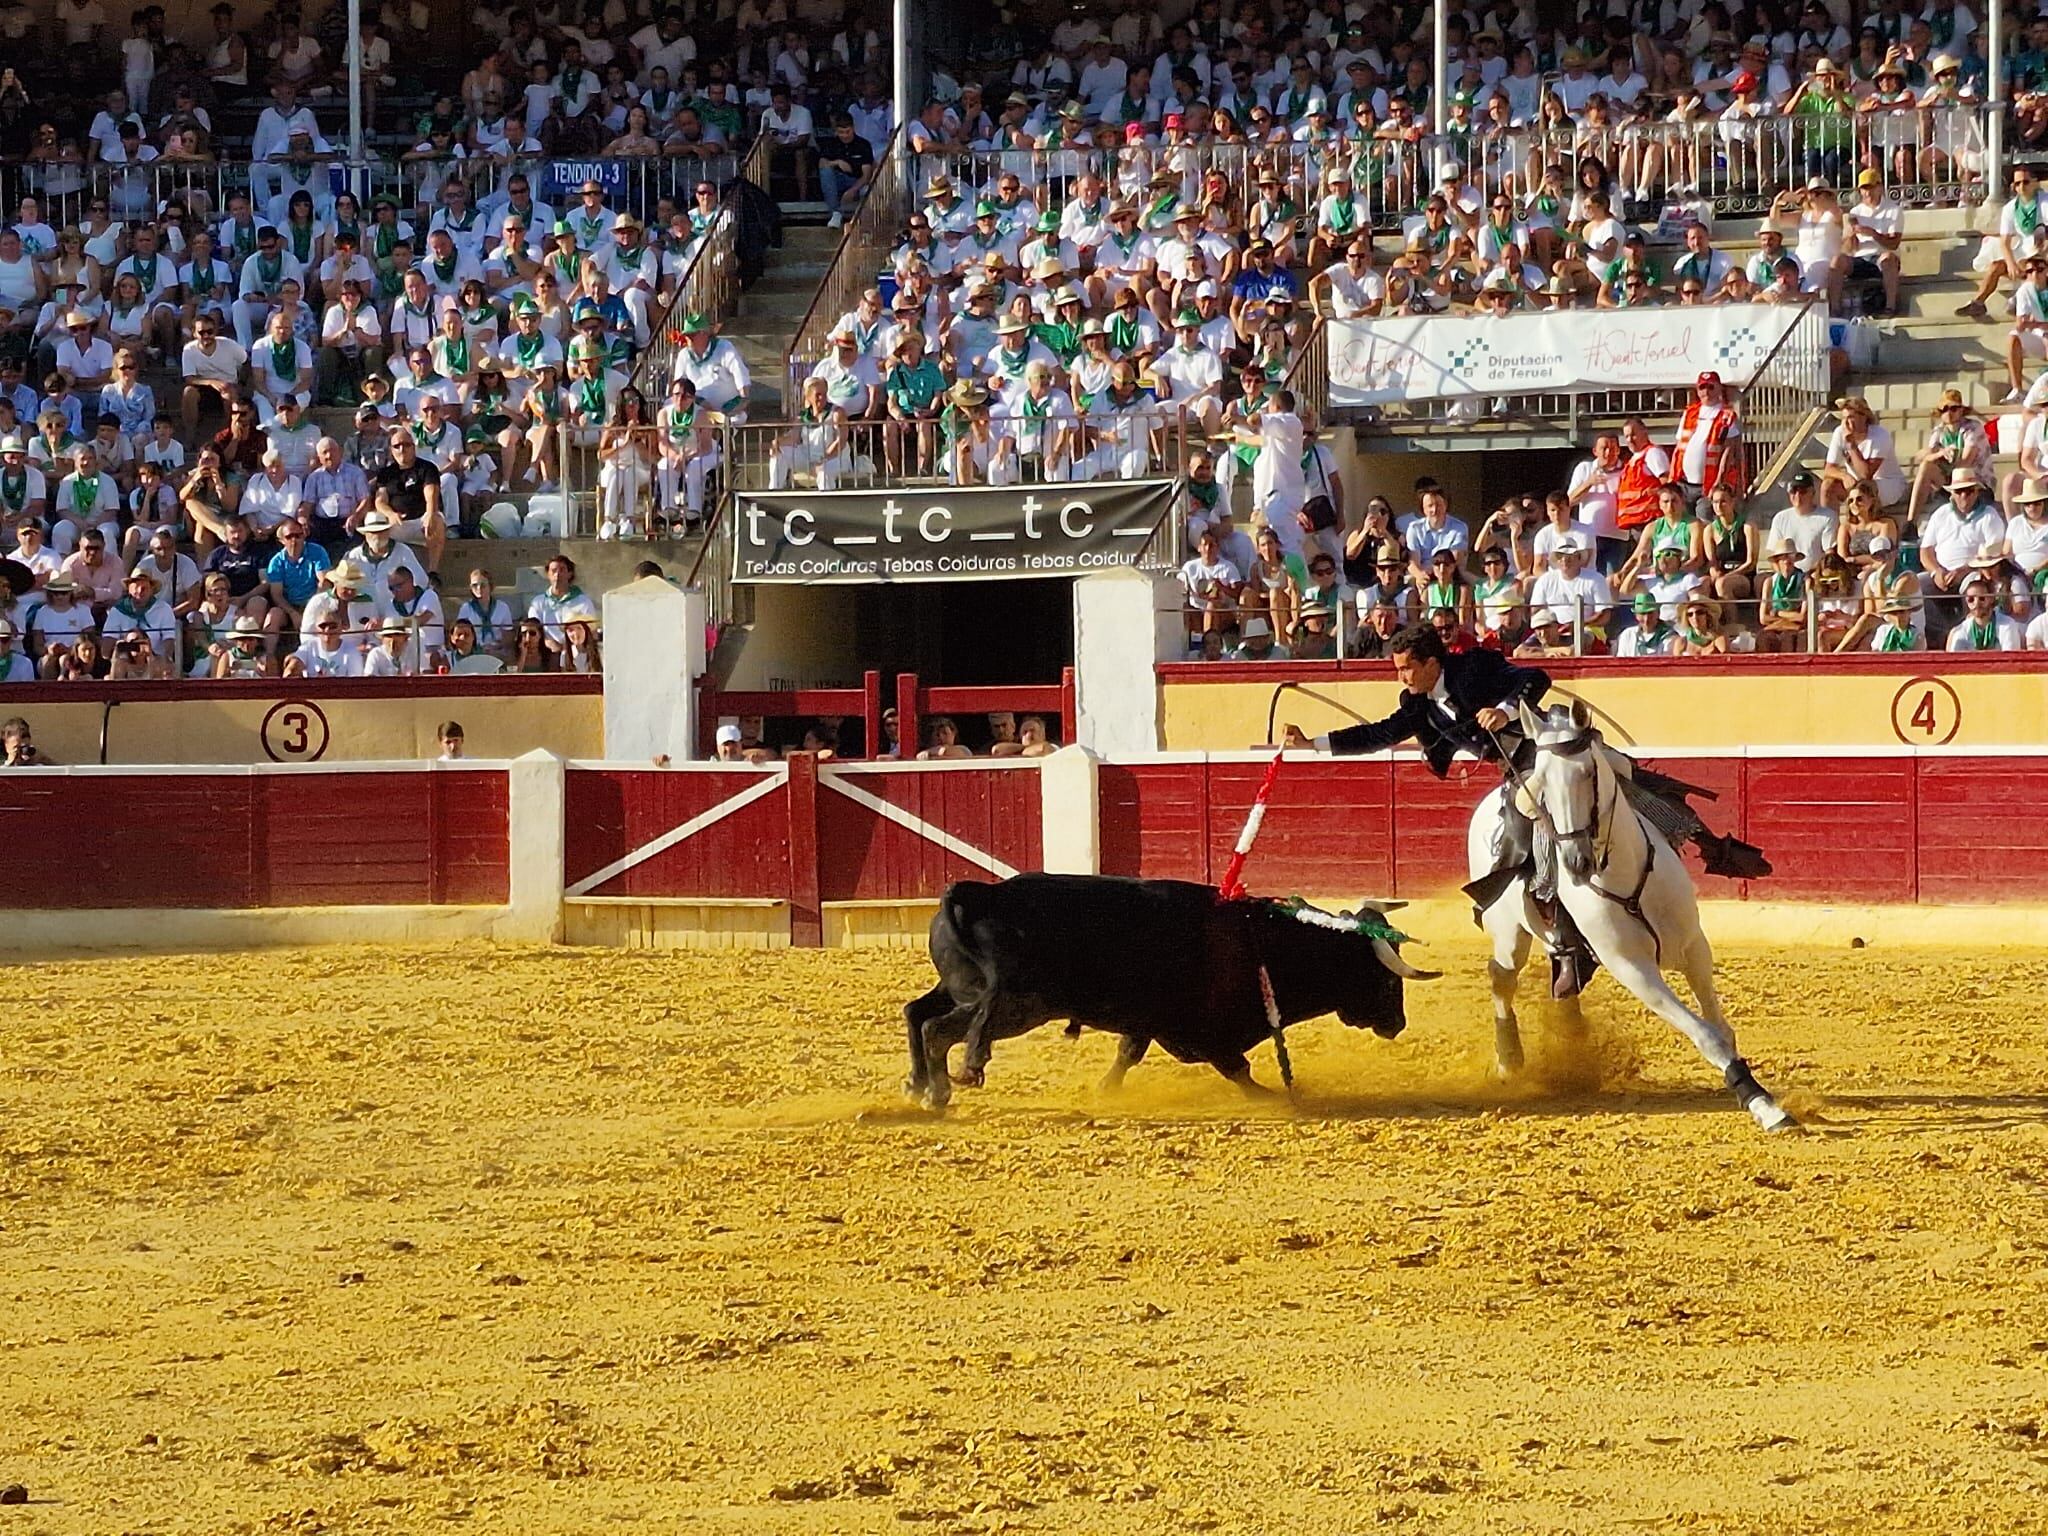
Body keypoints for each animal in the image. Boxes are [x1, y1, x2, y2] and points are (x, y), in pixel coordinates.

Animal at [905, 876, 1433, 1105]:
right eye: (1386, 979)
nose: (1398, 1024)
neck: (1260, 942)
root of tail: (975, 893)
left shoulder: (1148, 1021)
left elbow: (1128, 1053)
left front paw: (1105, 1090)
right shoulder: (1203, 1033)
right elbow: (1237, 1068)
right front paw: (1275, 1096)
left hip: (962, 987)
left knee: (916, 1012)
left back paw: (917, 1085)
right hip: (1020, 1006)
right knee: (943, 1030)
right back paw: (944, 1089)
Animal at [1474, 696, 1794, 1130]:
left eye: (1589, 772)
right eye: (1540, 784)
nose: (1575, 862)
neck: (1622, 872)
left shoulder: (1695, 947)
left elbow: (1721, 1029)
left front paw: (1757, 1095)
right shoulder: (1633, 969)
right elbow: (1707, 1035)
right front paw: (1765, 1106)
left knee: (1560, 976)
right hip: (1508, 933)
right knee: (1502, 978)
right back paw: (1510, 1060)